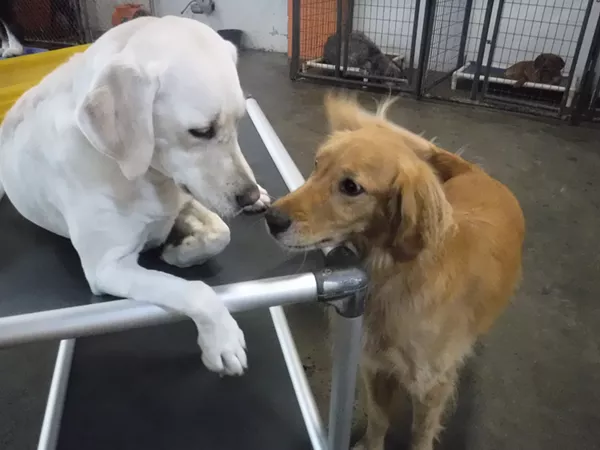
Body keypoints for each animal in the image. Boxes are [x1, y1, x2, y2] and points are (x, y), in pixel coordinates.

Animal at [0, 15, 270, 376]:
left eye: (239, 122)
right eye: (201, 132)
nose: (248, 196)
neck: (146, 177)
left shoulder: (182, 200)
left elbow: (221, 234)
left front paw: (181, 252)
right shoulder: (107, 268)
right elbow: (193, 290)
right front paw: (222, 339)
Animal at [264, 95, 524, 450]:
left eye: (351, 186)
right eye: (317, 165)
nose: (271, 218)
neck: (395, 274)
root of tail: (475, 170)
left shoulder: (431, 387)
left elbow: (420, 434)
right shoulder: (375, 367)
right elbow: (378, 418)